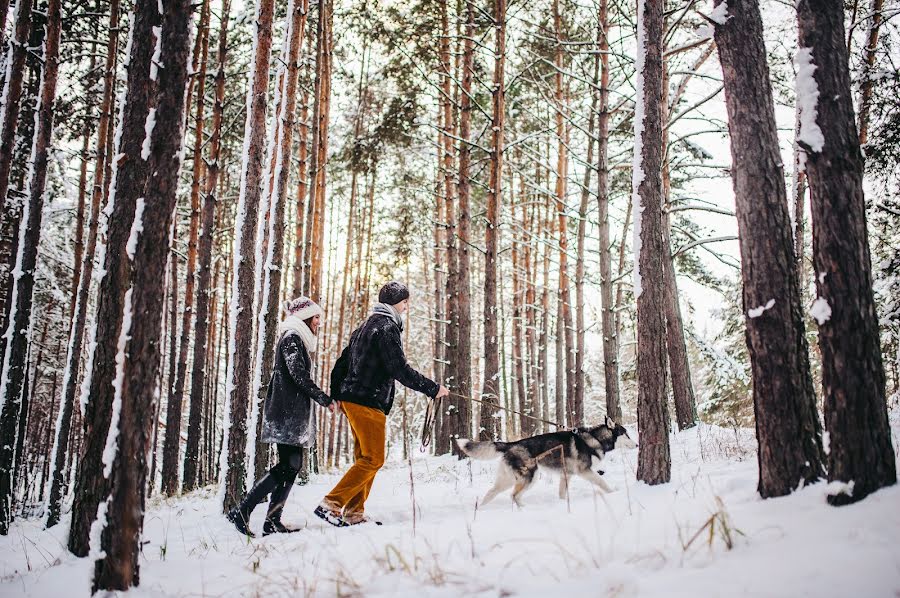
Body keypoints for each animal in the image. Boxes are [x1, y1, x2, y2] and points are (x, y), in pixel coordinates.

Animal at [458, 420, 640, 508]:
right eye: (626, 434)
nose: (638, 445)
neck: (594, 439)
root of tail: (512, 444)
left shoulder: (566, 475)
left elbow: (561, 493)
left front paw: (562, 503)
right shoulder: (584, 471)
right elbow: (601, 482)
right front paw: (613, 493)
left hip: (508, 479)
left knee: (492, 492)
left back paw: (481, 509)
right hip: (530, 478)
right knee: (513, 495)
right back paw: (524, 509)